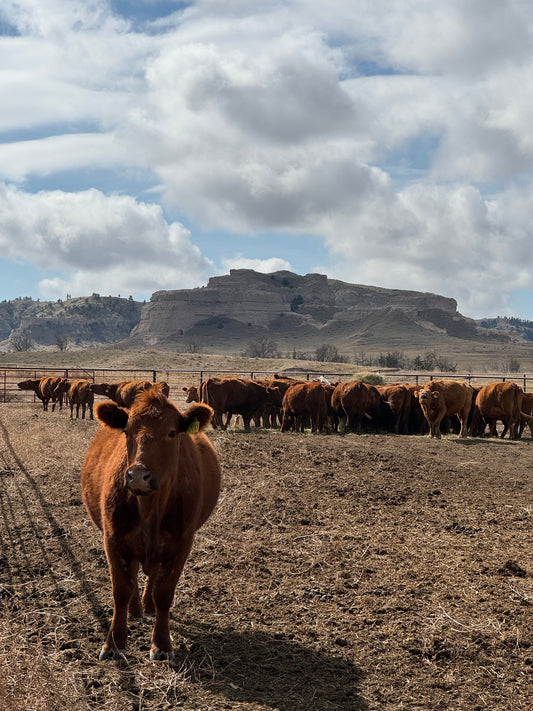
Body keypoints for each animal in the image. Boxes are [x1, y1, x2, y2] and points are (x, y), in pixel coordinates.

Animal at [79, 386, 220, 660]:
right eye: (127, 431)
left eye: (172, 432)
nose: (137, 475)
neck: (150, 510)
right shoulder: (113, 539)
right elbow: (121, 590)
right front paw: (114, 643)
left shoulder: (181, 544)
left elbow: (164, 593)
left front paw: (162, 644)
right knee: (134, 575)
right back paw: (136, 609)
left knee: (152, 576)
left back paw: (147, 606)